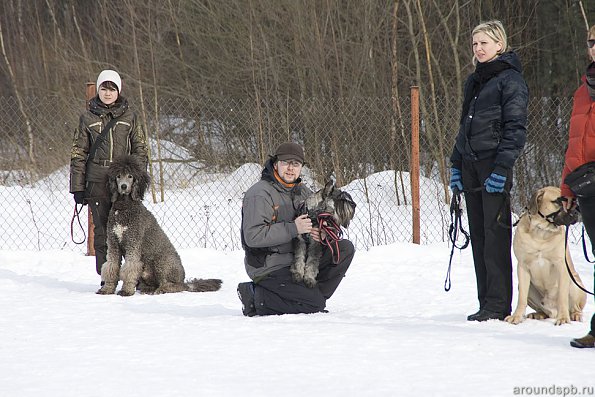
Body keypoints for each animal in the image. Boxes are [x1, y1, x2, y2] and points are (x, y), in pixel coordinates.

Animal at [508, 186, 588, 324]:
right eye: (558, 201)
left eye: (571, 202)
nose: (575, 214)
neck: (541, 233)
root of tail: (553, 311)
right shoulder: (522, 266)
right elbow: (522, 297)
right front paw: (516, 317)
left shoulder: (561, 266)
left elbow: (562, 296)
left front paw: (563, 318)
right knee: (543, 310)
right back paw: (538, 314)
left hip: (575, 284)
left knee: (575, 307)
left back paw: (574, 315)